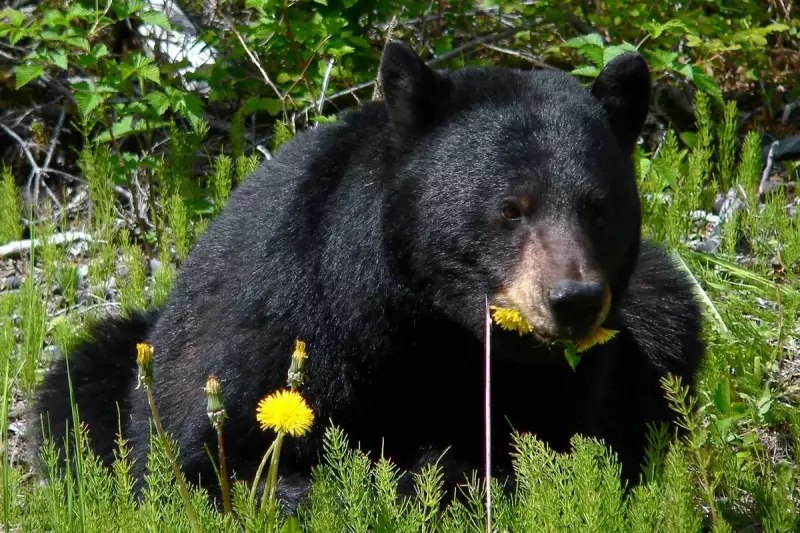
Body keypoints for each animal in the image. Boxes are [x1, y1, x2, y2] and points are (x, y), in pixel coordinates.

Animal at [33, 39, 704, 510]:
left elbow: (554, 446)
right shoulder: (281, 318)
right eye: (511, 208)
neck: (423, 320)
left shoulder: (560, 379)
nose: (574, 300)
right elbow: (208, 459)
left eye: (599, 208)